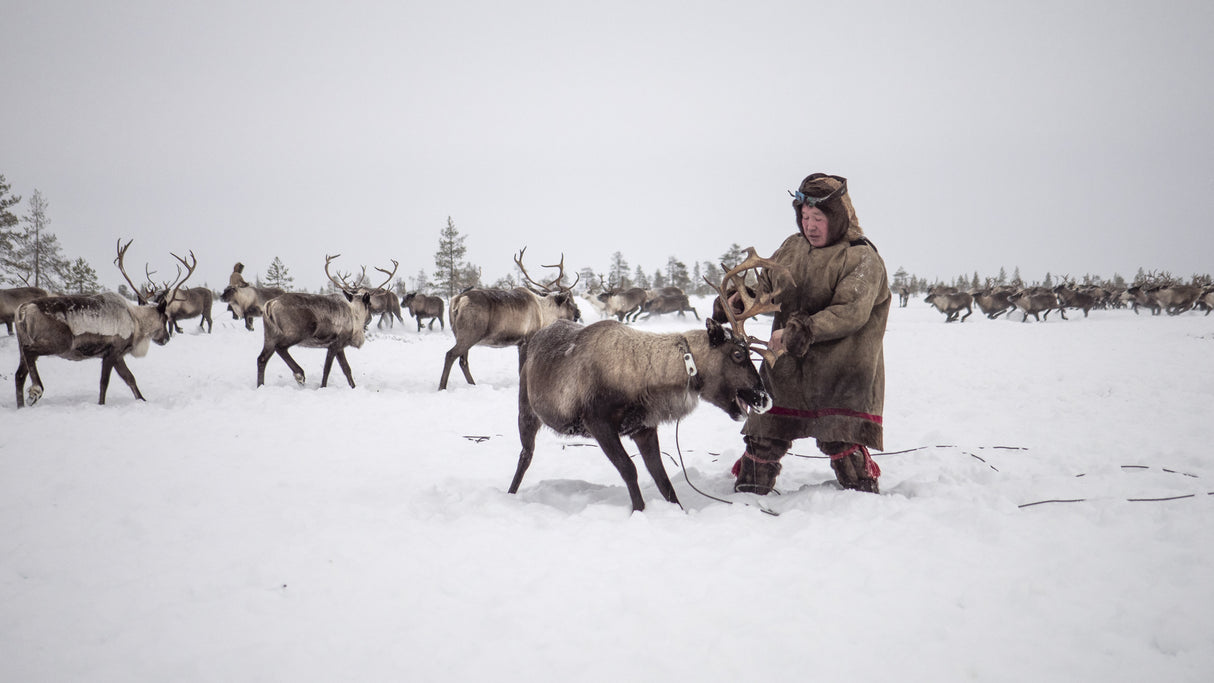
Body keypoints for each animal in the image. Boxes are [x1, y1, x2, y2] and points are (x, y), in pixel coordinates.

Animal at [13, 239, 195, 407]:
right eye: (164, 318)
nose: (166, 338)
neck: (136, 322)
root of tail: (23, 309)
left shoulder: (119, 355)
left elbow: (130, 379)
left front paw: (143, 400)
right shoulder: (112, 352)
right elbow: (104, 383)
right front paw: (101, 404)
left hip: (22, 343)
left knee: (19, 375)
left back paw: (21, 406)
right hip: (59, 343)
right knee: (30, 353)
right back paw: (36, 390)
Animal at [256, 256, 396, 388]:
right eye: (369, 304)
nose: (370, 319)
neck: (354, 315)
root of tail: (270, 304)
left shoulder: (340, 347)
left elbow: (347, 369)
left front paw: (353, 387)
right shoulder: (335, 344)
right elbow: (327, 370)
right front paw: (323, 387)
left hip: (269, 335)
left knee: (261, 359)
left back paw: (260, 386)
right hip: (295, 333)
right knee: (280, 348)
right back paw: (299, 374)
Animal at [438, 249, 581, 390]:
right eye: (568, 301)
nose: (578, 313)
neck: (543, 311)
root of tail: (458, 299)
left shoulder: (518, 344)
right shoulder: (528, 339)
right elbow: (522, 367)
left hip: (460, 335)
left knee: (463, 361)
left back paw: (473, 385)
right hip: (469, 334)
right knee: (451, 355)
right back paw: (442, 387)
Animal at [510, 248, 784, 512]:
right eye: (738, 354)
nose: (765, 399)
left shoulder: (644, 427)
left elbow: (662, 478)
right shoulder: (597, 421)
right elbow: (629, 470)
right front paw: (639, 510)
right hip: (526, 409)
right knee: (525, 455)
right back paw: (511, 494)